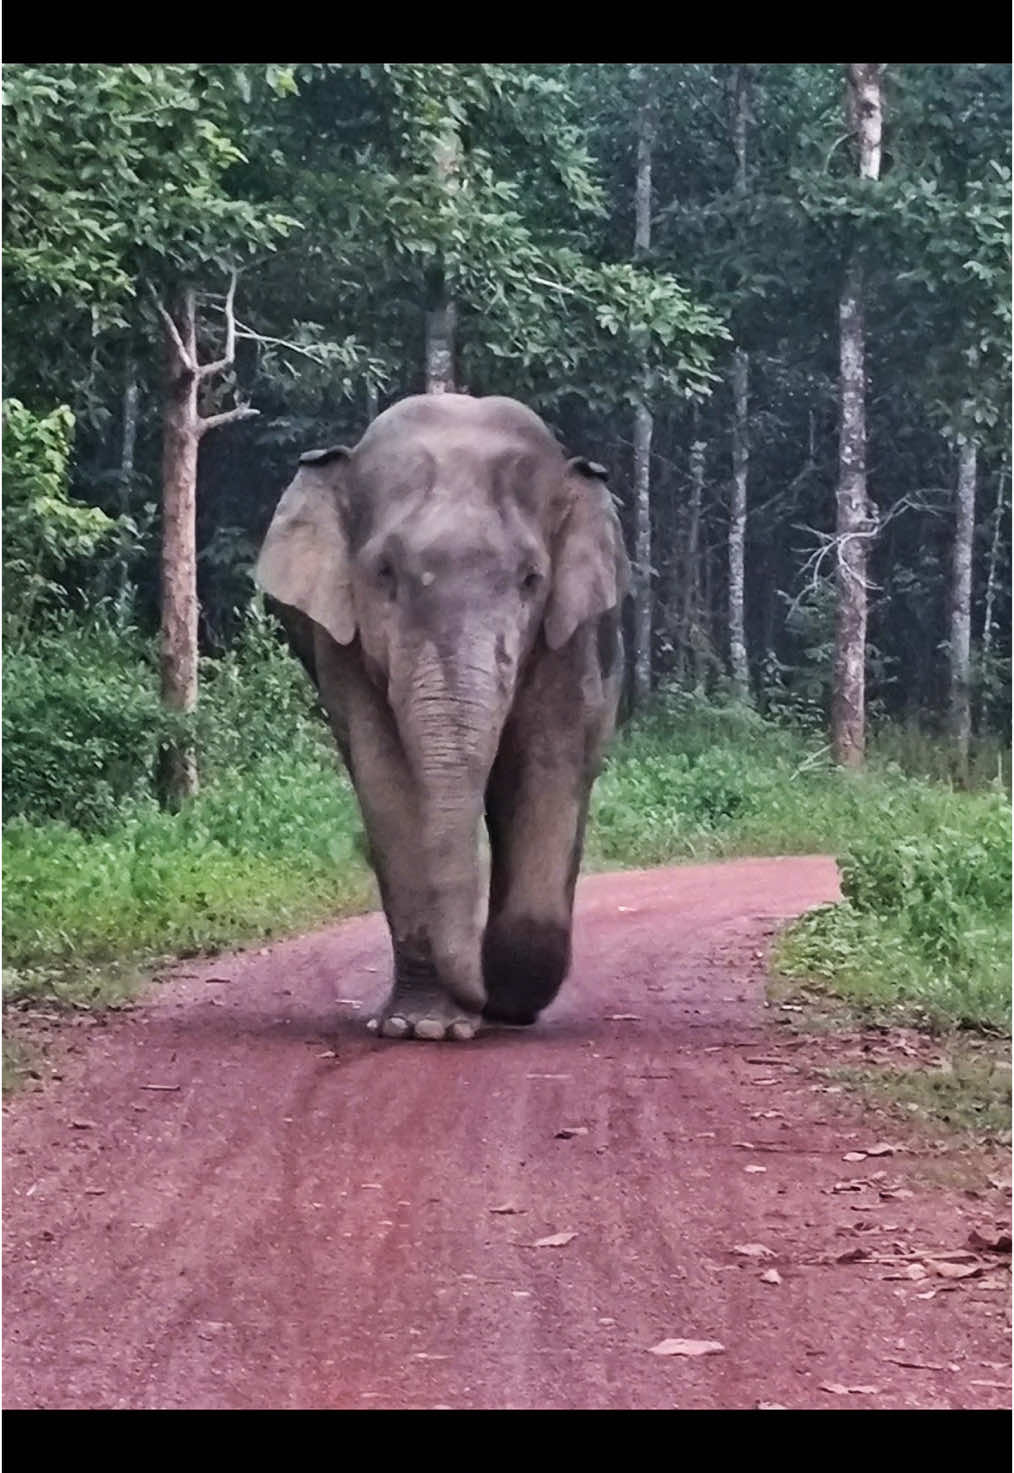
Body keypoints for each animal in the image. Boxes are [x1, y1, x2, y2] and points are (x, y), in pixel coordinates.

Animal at [255, 392, 629, 1041]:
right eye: (384, 574)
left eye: (531, 579)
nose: (486, 1001)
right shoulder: (340, 644)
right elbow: (386, 780)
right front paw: (424, 1028)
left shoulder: (571, 633)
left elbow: (551, 758)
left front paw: (504, 1002)